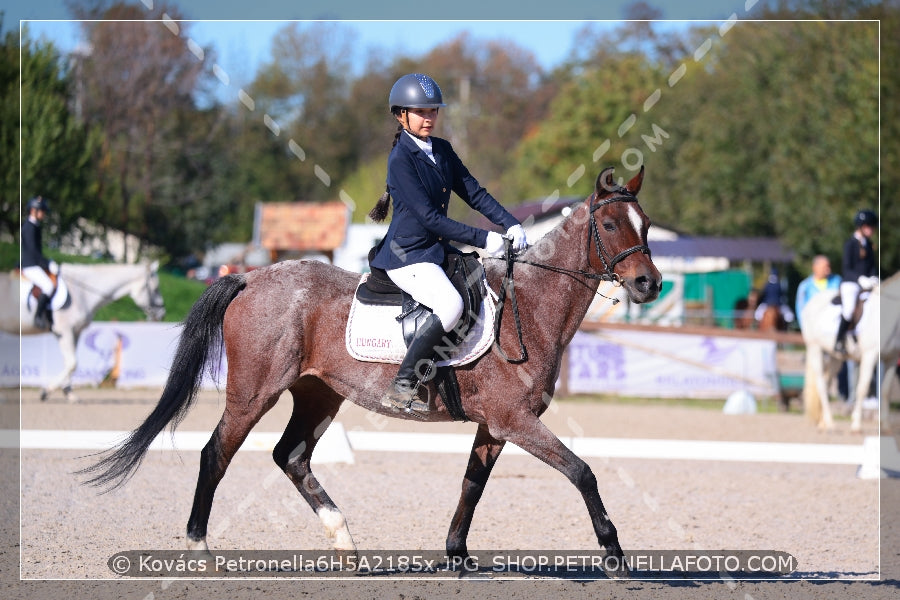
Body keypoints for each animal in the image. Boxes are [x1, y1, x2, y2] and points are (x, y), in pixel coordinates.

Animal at [0, 262, 166, 404]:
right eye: (155, 289)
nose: (162, 314)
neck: (81, 293)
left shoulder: (75, 332)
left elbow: (70, 363)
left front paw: (69, 394)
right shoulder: (65, 331)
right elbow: (72, 363)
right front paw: (46, 391)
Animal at [82, 166, 660, 580]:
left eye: (647, 226)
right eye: (610, 225)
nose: (649, 284)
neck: (532, 307)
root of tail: (249, 277)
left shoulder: (494, 426)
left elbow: (471, 487)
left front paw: (456, 557)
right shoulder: (514, 420)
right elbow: (581, 471)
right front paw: (613, 554)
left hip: (318, 394)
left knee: (290, 456)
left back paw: (345, 544)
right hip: (254, 392)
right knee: (216, 453)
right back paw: (201, 548)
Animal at [800, 272, 900, 432]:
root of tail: (812, 301)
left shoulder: (891, 358)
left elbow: (886, 390)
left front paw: (885, 427)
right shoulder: (869, 355)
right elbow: (862, 388)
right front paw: (856, 425)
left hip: (835, 357)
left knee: (827, 383)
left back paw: (824, 423)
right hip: (815, 348)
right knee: (821, 385)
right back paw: (830, 423)